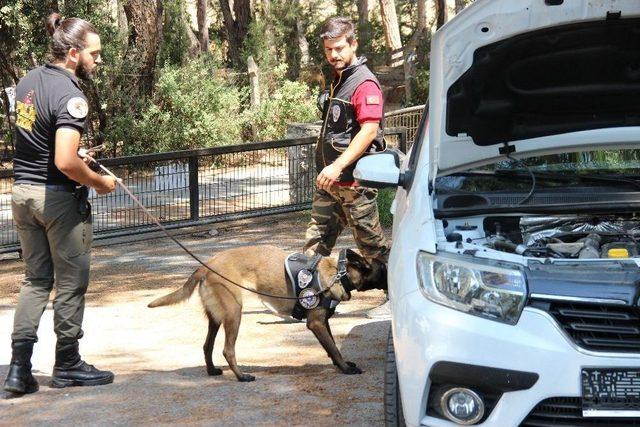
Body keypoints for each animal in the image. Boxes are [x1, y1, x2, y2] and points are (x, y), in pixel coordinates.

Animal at [148, 246, 384, 382]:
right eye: (382, 267)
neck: (338, 274)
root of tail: (206, 266)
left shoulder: (322, 320)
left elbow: (332, 346)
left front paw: (341, 364)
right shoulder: (316, 323)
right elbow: (333, 348)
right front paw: (345, 369)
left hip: (216, 318)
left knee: (207, 346)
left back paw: (213, 371)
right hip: (234, 313)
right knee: (227, 350)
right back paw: (241, 376)